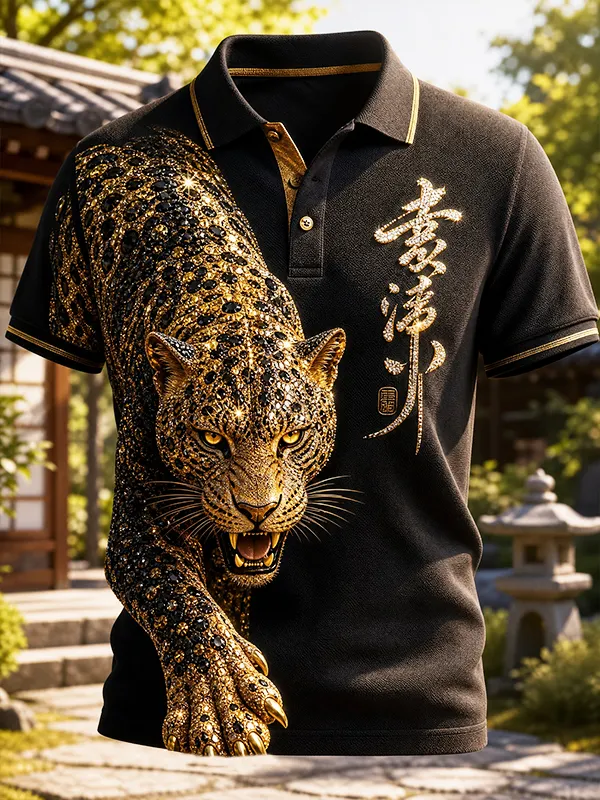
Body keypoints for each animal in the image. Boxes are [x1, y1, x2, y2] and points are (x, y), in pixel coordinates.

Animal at [48, 124, 351, 757]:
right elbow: (176, 596)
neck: (229, 312)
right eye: (212, 439)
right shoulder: (139, 520)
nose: (257, 510)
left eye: (291, 437)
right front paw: (222, 701)